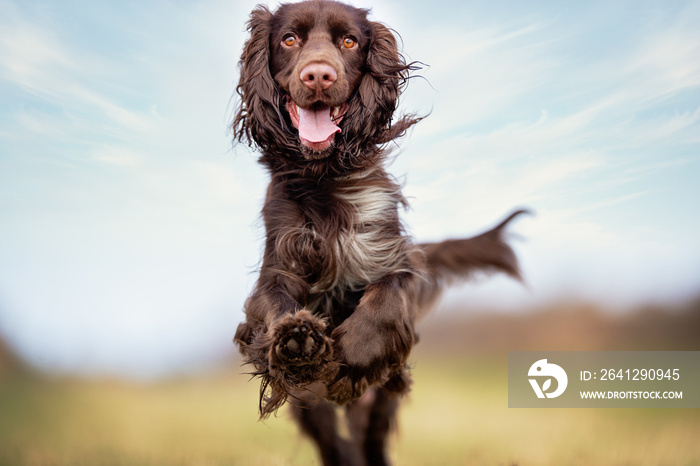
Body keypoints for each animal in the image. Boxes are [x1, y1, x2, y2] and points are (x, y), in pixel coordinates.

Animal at [232, 1, 528, 464]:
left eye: (349, 41)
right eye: (289, 39)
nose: (318, 75)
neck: (326, 177)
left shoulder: (395, 255)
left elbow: (387, 296)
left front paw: (354, 355)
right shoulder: (278, 263)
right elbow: (274, 304)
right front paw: (296, 340)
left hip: (377, 407)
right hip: (314, 411)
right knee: (335, 445)